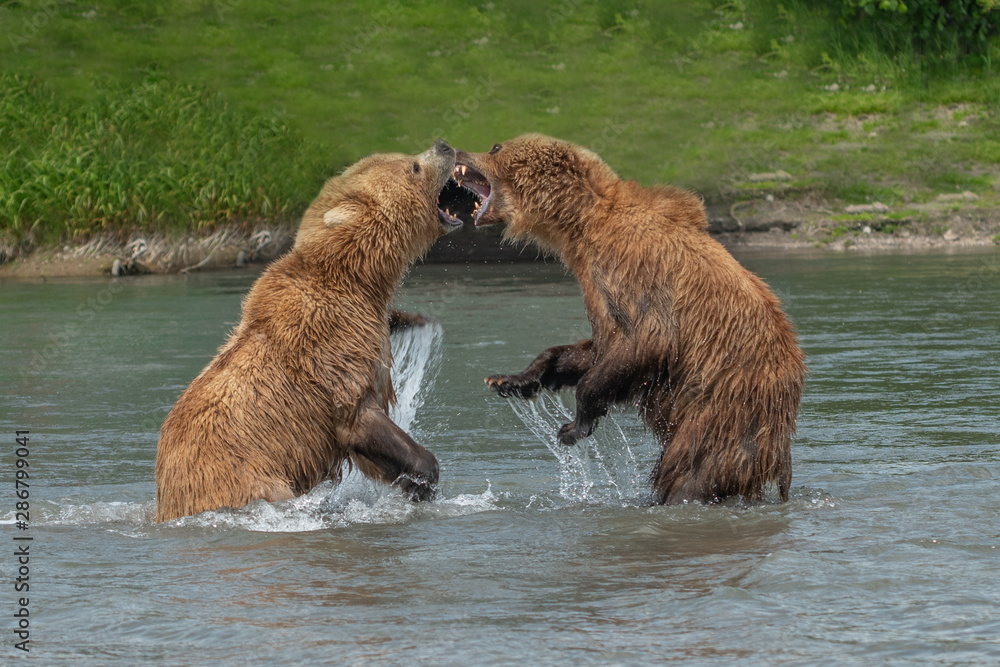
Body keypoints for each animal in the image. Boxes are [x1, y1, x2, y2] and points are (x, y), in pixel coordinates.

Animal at [154, 139, 462, 523]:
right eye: (414, 167)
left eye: (408, 157)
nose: (444, 145)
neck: (355, 277)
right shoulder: (333, 352)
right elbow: (362, 420)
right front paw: (423, 477)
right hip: (241, 479)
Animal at [451, 133, 806, 504]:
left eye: (495, 147)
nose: (455, 149)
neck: (582, 226)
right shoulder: (595, 286)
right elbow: (596, 347)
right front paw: (511, 379)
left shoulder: (634, 268)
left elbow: (649, 337)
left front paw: (574, 426)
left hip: (723, 410)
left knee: (692, 470)